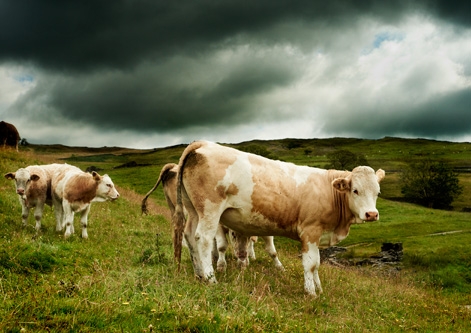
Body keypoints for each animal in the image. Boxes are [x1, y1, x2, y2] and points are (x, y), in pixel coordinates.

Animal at [141, 163, 284, 270]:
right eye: (233, 235)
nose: (242, 255)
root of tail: (173, 167)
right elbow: (222, 245)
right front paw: (222, 265)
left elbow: (271, 250)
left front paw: (278, 267)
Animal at [175, 140, 386, 296]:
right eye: (355, 190)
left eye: (377, 192)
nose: (372, 214)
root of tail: (203, 144)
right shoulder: (310, 231)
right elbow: (310, 264)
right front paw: (311, 293)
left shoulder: (318, 235)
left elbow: (317, 264)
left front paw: (319, 288)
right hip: (210, 209)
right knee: (203, 239)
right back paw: (211, 279)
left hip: (192, 209)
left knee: (189, 235)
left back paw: (199, 274)